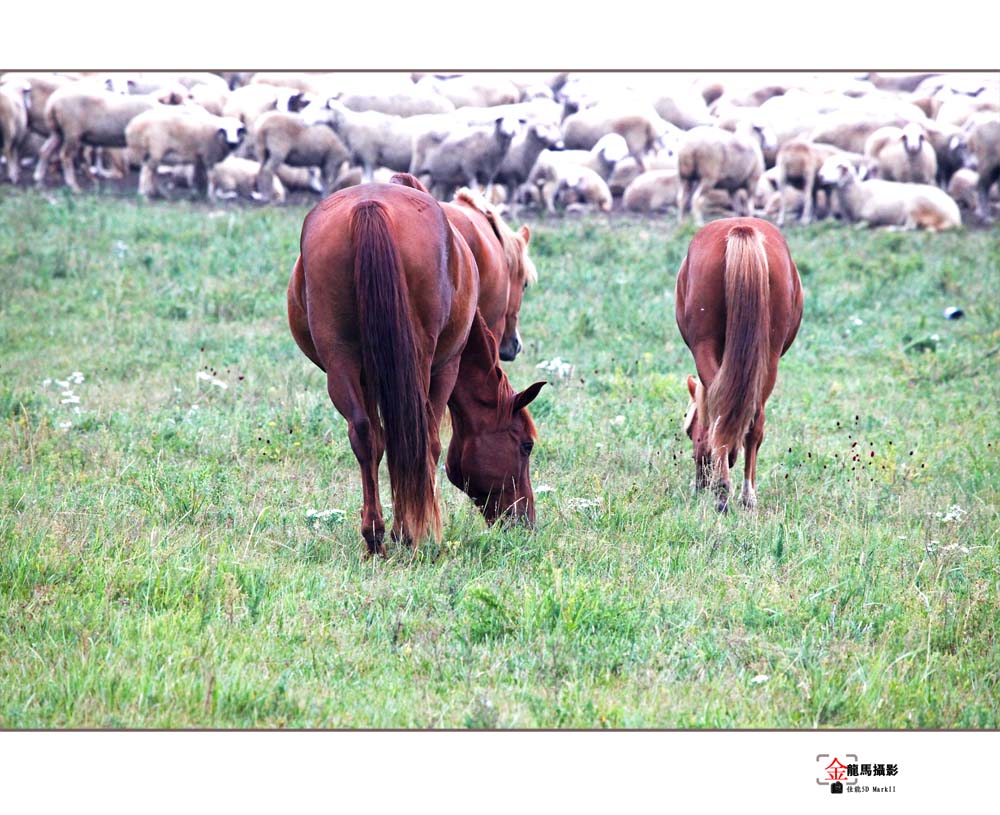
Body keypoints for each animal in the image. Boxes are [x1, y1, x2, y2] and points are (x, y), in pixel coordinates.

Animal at [672, 215, 804, 510]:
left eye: (690, 432)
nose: (699, 484)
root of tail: (741, 228)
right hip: (768, 359)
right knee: (753, 421)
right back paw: (743, 494)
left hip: (706, 346)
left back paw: (724, 491)